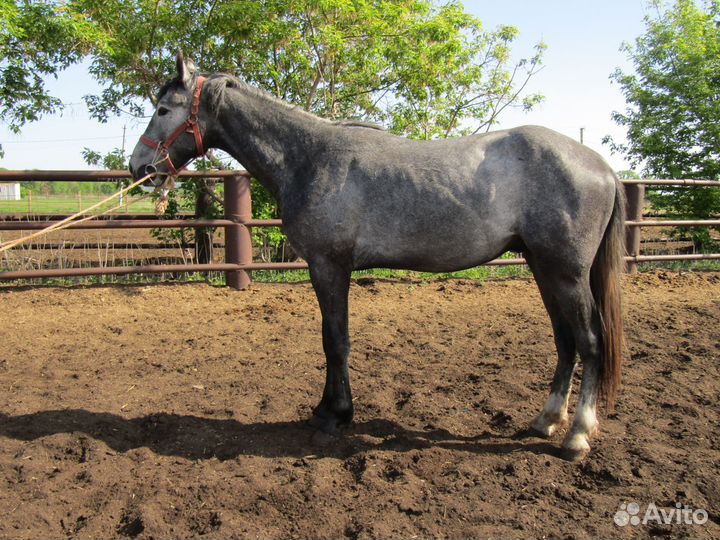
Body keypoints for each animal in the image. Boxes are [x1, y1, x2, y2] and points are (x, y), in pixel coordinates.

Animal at [130, 53, 625, 461]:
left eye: (163, 110)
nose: (139, 167)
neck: (309, 158)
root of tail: (600, 166)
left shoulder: (329, 267)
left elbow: (335, 340)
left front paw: (334, 415)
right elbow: (333, 339)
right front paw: (328, 409)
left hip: (567, 273)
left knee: (589, 342)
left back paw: (577, 436)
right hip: (544, 268)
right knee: (564, 342)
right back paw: (546, 420)